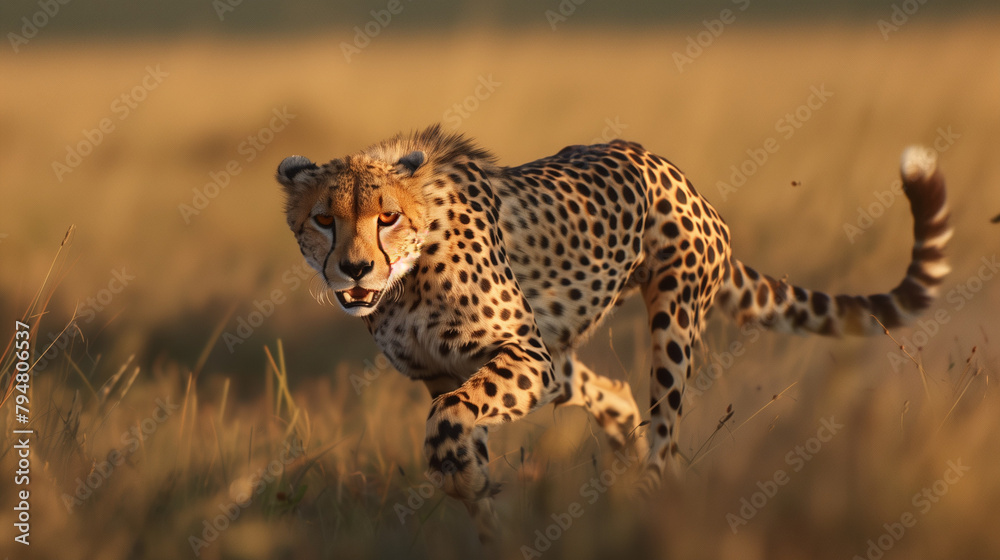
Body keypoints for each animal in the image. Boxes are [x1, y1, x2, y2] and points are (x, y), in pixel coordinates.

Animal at [276, 125, 950, 541]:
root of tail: (667, 166)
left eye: (387, 217)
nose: (354, 269)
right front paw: (487, 511)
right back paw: (621, 465)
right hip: (560, 361)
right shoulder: (454, 372)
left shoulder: (519, 355)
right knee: (619, 398)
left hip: (668, 322)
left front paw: (466, 480)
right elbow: (462, 429)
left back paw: (647, 499)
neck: (406, 282)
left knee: (665, 435)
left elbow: (450, 421)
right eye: (324, 219)